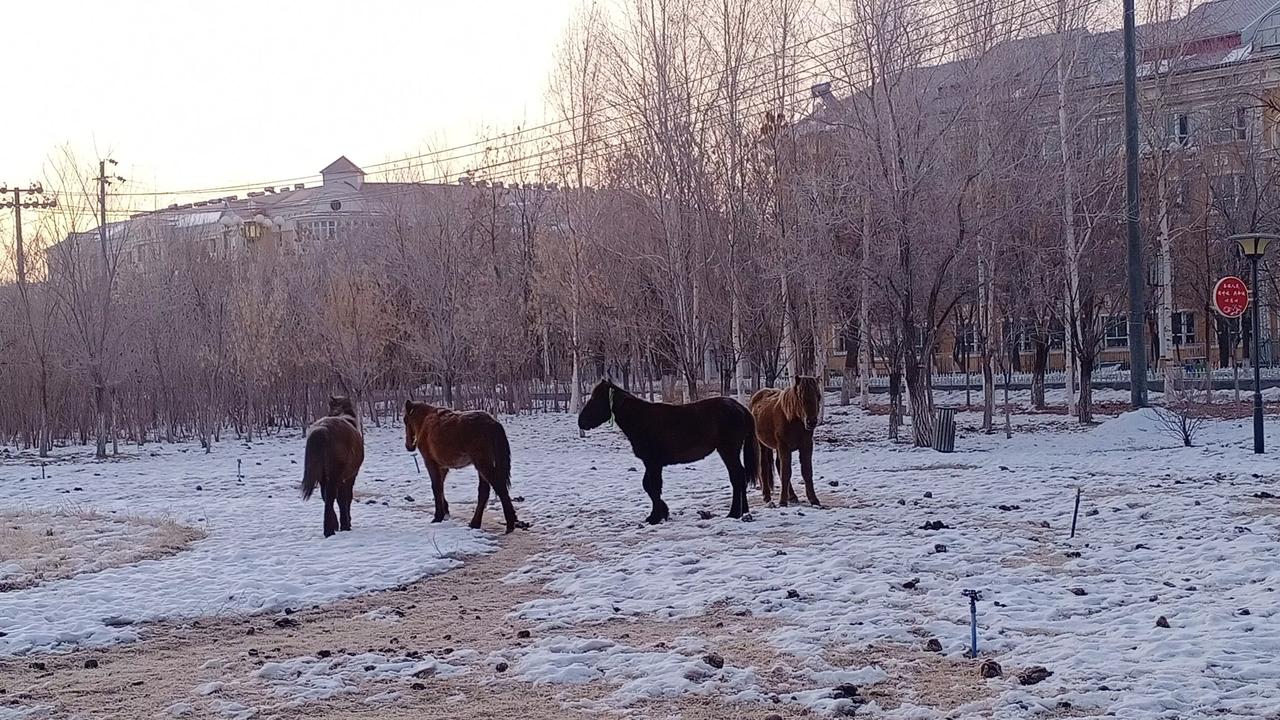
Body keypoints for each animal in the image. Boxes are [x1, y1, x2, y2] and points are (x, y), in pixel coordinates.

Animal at [298, 394, 363, 535]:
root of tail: (323, 429)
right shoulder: (350, 477)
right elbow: (345, 499)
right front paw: (346, 523)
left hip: (325, 476)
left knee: (326, 496)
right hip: (335, 475)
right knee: (331, 496)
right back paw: (330, 530)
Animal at [401, 397, 517, 532]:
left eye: (405, 420)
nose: (408, 446)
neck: (425, 422)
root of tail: (493, 423)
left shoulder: (431, 463)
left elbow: (436, 487)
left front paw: (438, 516)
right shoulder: (442, 467)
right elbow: (440, 486)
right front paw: (445, 510)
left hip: (483, 465)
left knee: (499, 487)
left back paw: (509, 523)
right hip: (482, 466)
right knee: (484, 492)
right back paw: (475, 523)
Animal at [583, 379, 757, 525]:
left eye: (595, 399)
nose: (581, 421)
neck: (640, 419)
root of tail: (741, 407)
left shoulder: (653, 463)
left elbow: (653, 487)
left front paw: (656, 517)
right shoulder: (652, 463)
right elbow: (648, 486)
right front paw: (662, 513)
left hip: (728, 451)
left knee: (737, 477)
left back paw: (734, 513)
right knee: (740, 476)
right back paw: (743, 511)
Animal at [747, 376, 819, 504]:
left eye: (817, 395)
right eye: (800, 397)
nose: (811, 422)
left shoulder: (806, 445)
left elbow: (807, 471)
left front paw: (814, 499)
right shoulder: (784, 446)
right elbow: (786, 472)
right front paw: (782, 501)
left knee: (777, 464)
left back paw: (792, 496)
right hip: (762, 445)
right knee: (763, 466)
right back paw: (767, 496)